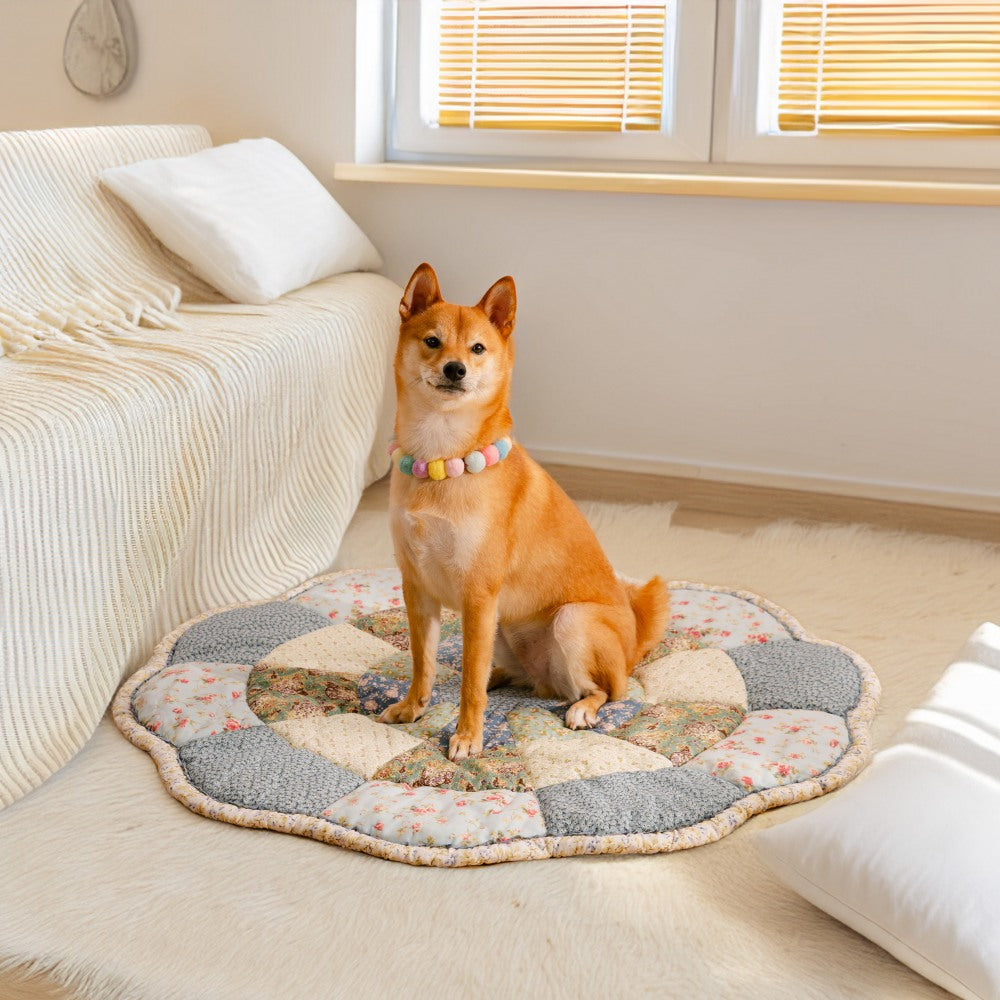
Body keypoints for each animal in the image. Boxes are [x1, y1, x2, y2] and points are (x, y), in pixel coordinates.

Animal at [382, 262, 672, 760]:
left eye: (477, 348)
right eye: (432, 341)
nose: (456, 368)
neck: (441, 460)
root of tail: (633, 647)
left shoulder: (479, 597)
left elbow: (469, 686)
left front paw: (467, 737)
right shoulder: (418, 589)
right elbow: (424, 664)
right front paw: (413, 707)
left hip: (569, 621)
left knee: (604, 691)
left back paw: (582, 708)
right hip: (504, 627)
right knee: (520, 679)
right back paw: (501, 677)